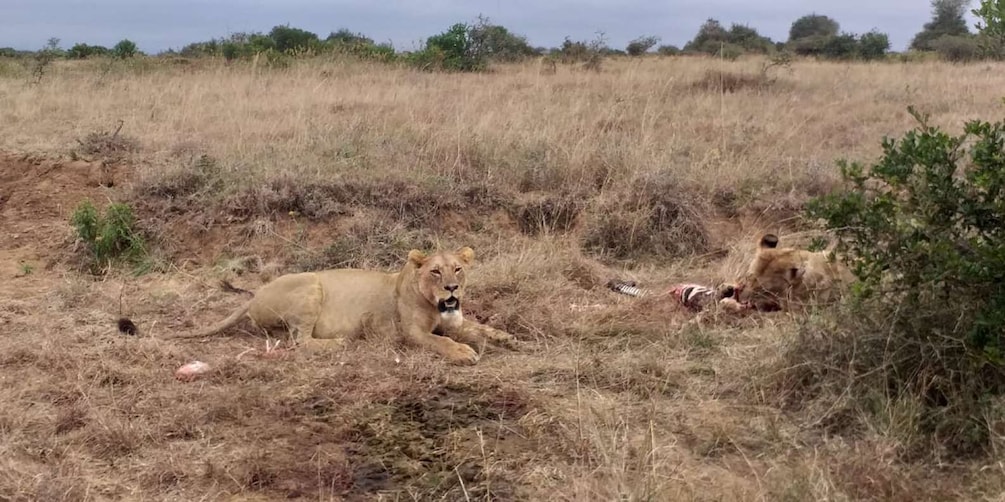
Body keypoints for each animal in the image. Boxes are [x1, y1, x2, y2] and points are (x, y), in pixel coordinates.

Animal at [171, 246, 514, 365]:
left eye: (458, 269)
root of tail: (254, 295)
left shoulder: (456, 321)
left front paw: (507, 337)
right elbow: (439, 341)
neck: (435, 304)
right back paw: (338, 343)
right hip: (312, 285)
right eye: (435, 272)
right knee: (300, 341)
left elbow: (479, 327)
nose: (452, 288)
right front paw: (464, 352)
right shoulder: (412, 333)